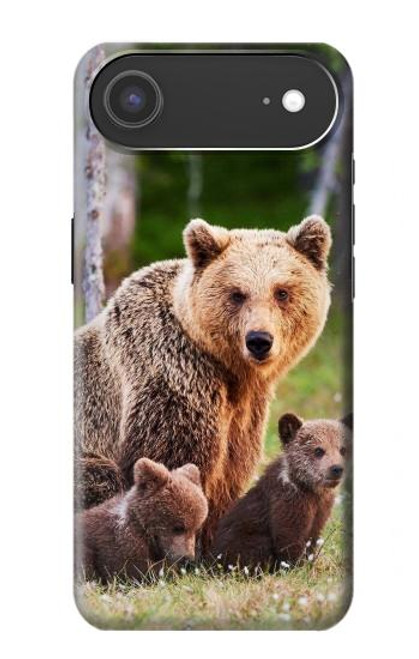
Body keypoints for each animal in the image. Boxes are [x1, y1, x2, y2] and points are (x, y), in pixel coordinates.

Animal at [74, 216, 332, 549]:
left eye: (282, 292)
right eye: (237, 293)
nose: (259, 340)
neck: (229, 370)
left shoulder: (245, 411)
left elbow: (231, 471)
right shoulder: (173, 378)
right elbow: (175, 462)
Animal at [212, 413, 351, 570]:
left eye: (343, 449)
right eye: (319, 450)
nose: (337, 469)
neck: (309, 488)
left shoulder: (321, 509)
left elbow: (312, 538)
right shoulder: (288, 503)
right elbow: (289, 539)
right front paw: (295, 567)